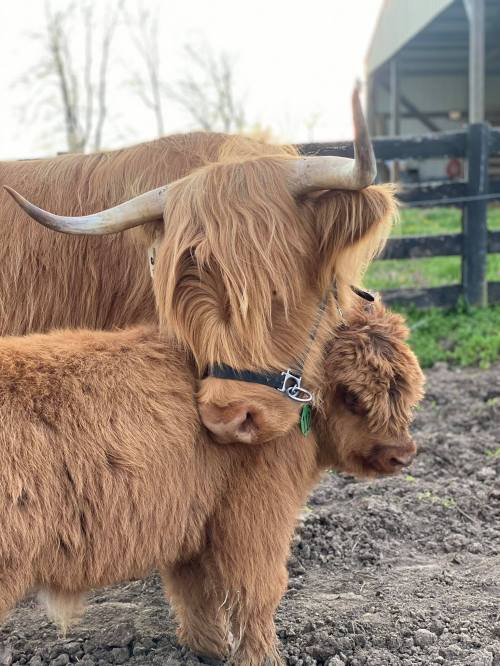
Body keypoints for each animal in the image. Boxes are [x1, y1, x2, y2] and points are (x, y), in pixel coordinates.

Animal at [0, 299, 424, 666]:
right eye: (352, 396)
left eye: (403, 389)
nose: (402, 454)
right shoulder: (254, 519)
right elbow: (257, 591)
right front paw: (263, 658)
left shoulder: (192, 528)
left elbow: (195, 595)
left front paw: (208, 650)